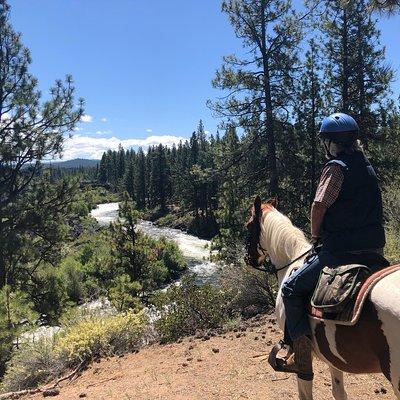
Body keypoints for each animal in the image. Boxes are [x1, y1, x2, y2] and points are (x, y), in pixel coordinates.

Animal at [244, 197, 400, 400]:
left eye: (248, 225)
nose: (248, 258)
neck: (292, 260)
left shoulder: (301, 356)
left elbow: (305, 391)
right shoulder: (333, 357)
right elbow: (338, 392)